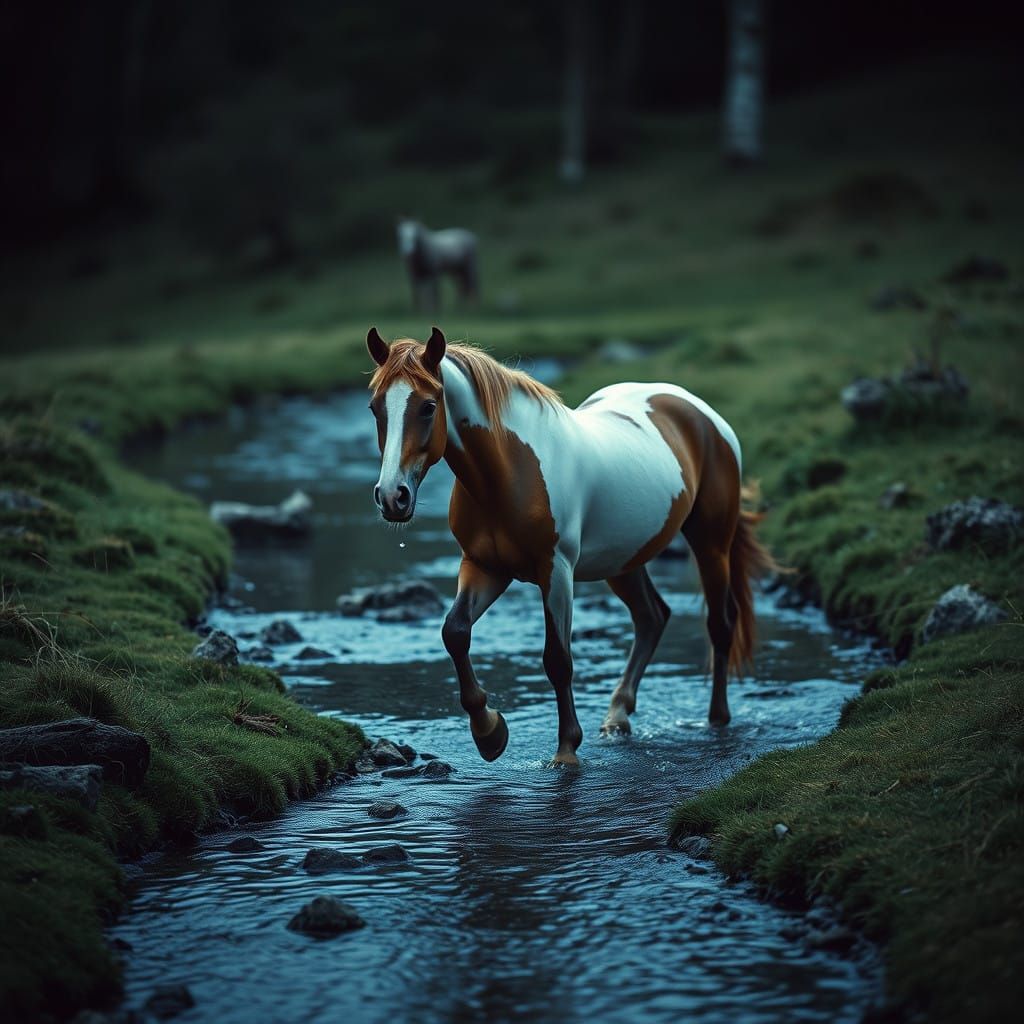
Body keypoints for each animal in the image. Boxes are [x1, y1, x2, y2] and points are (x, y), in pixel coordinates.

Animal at [365, 326, 774, 766]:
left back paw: (717, 718)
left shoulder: (556, 572)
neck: (511, 470)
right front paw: (489, 732)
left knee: (720, 624)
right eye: (375, 407)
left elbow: (557, 659)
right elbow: (455, 633)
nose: (392, 497)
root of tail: (702, 414)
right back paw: (617, 716)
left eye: (427, 407)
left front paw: (565, 752)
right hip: (624, 561)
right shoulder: (484, 567)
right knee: (652, 617)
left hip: (711, 545)